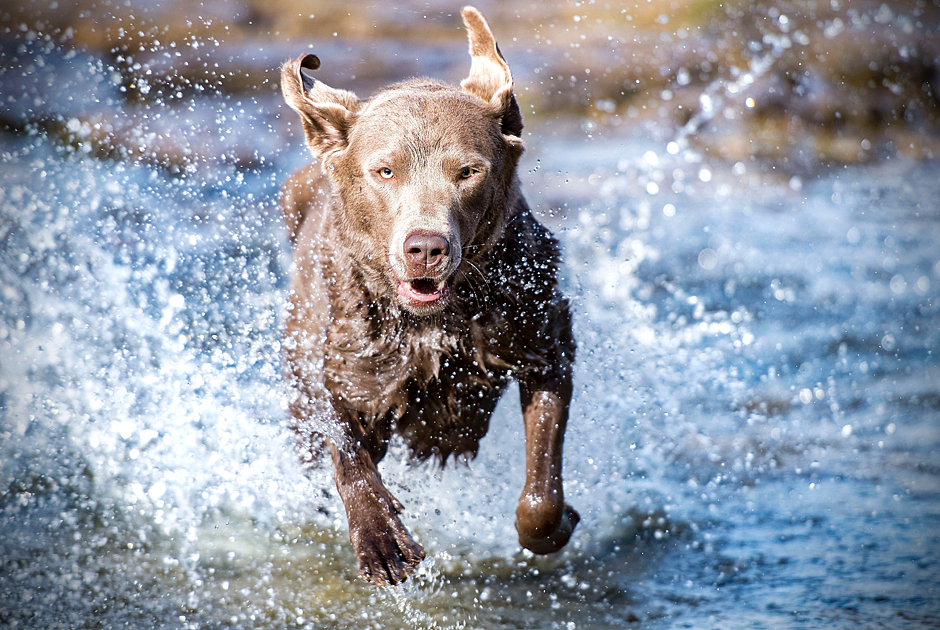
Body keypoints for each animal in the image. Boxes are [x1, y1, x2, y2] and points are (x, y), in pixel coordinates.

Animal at [276, 4, 576, 588]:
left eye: (468, 171)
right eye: (385, 171)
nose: (426, 248)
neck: (435, 323)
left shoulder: (542, 340)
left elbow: (541, 489)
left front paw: (556, 524)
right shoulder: (349, 364)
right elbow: (346, 449)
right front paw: (381, 539)